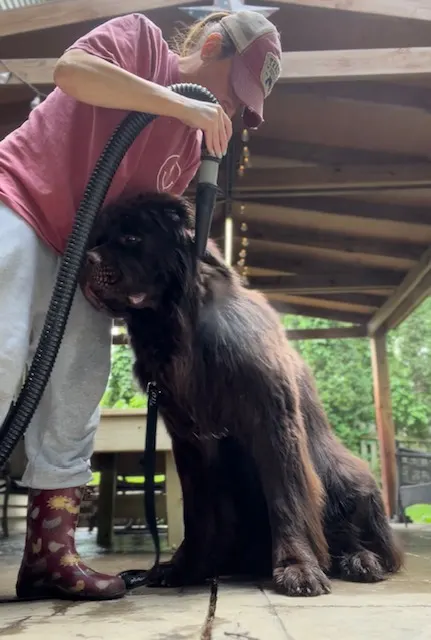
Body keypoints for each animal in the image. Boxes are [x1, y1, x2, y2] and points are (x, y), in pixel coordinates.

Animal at [79, 191, 404, 596]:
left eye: (131, 238)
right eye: (98, 240)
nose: (86, 260)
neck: (182, 329)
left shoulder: (272, 421)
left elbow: (286, 497)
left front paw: (298, 567)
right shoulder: (191, 441)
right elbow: (198, 512)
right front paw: (185, 567)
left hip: (349, 478)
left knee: (372, 543)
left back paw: (360, 560)